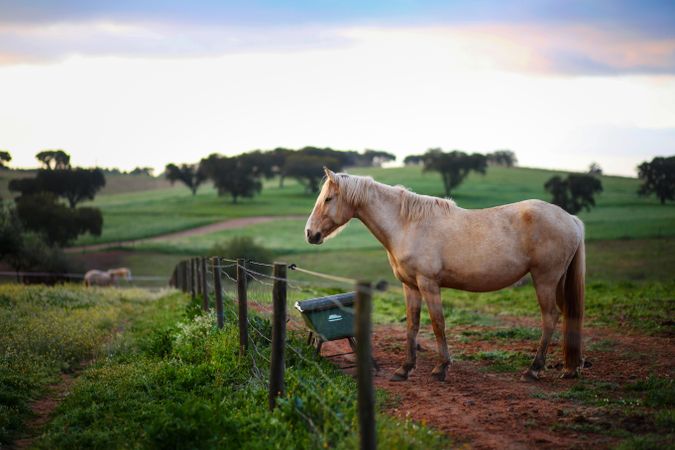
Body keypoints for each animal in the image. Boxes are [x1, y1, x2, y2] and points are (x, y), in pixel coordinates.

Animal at [306, 171, 588, 382]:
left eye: (329, 198)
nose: (310, 234)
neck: (407, 225)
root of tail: (571, 219)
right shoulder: (410, 286)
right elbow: (412, 325)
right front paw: (405, 369)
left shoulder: (429, 284)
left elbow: (437, 323)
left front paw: (441, 368)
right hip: (557, 282)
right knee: (566, 316)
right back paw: (570, 368)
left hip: (545, 280)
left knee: (550, 318)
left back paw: (533, 370)